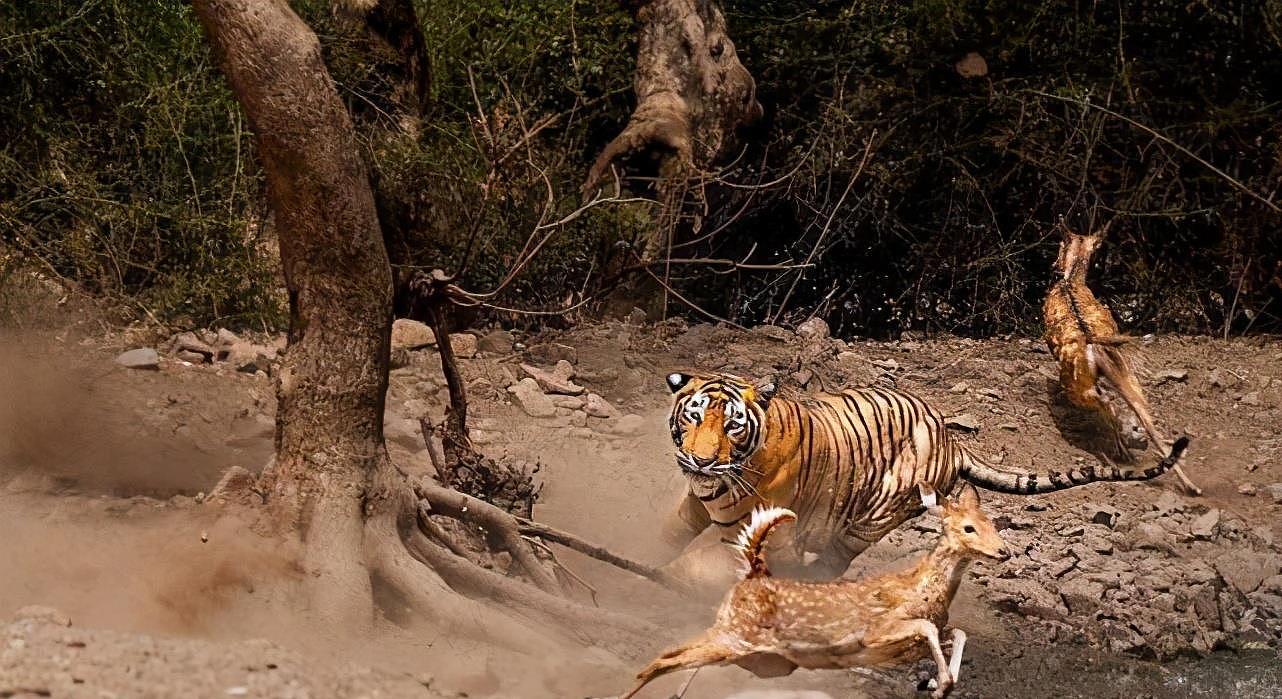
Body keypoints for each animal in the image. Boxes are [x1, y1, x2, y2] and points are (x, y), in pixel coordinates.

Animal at [623, 482, 1010, 692]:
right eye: (969, 528)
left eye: (993, 523)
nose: (1005, 552)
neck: (925, 590)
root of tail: (752, 574)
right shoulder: (877, 631)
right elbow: (929, 627)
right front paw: (940, 683)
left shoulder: (912, 645)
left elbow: (956, 632)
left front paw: (939, 683)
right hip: (736, 637)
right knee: (661, 660)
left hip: (758, 656)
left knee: (675, 659)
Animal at [661, 366, 1189, 584]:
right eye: (694, 416)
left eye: (732, 425)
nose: (701, 461)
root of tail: (953, 440)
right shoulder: (695, 506)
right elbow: (672, 535)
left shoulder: (761, 529)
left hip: (872, 518)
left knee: (834, 561)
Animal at [1040, 220, 1199, 492]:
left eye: (1060, 243)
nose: (1053, 264)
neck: (1071, 280)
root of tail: (1094, 345)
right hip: (1127, 377)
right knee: (1146, 418)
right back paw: (1190, 484)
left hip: (1077, 385)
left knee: (1106, 403)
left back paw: (1123, 449)